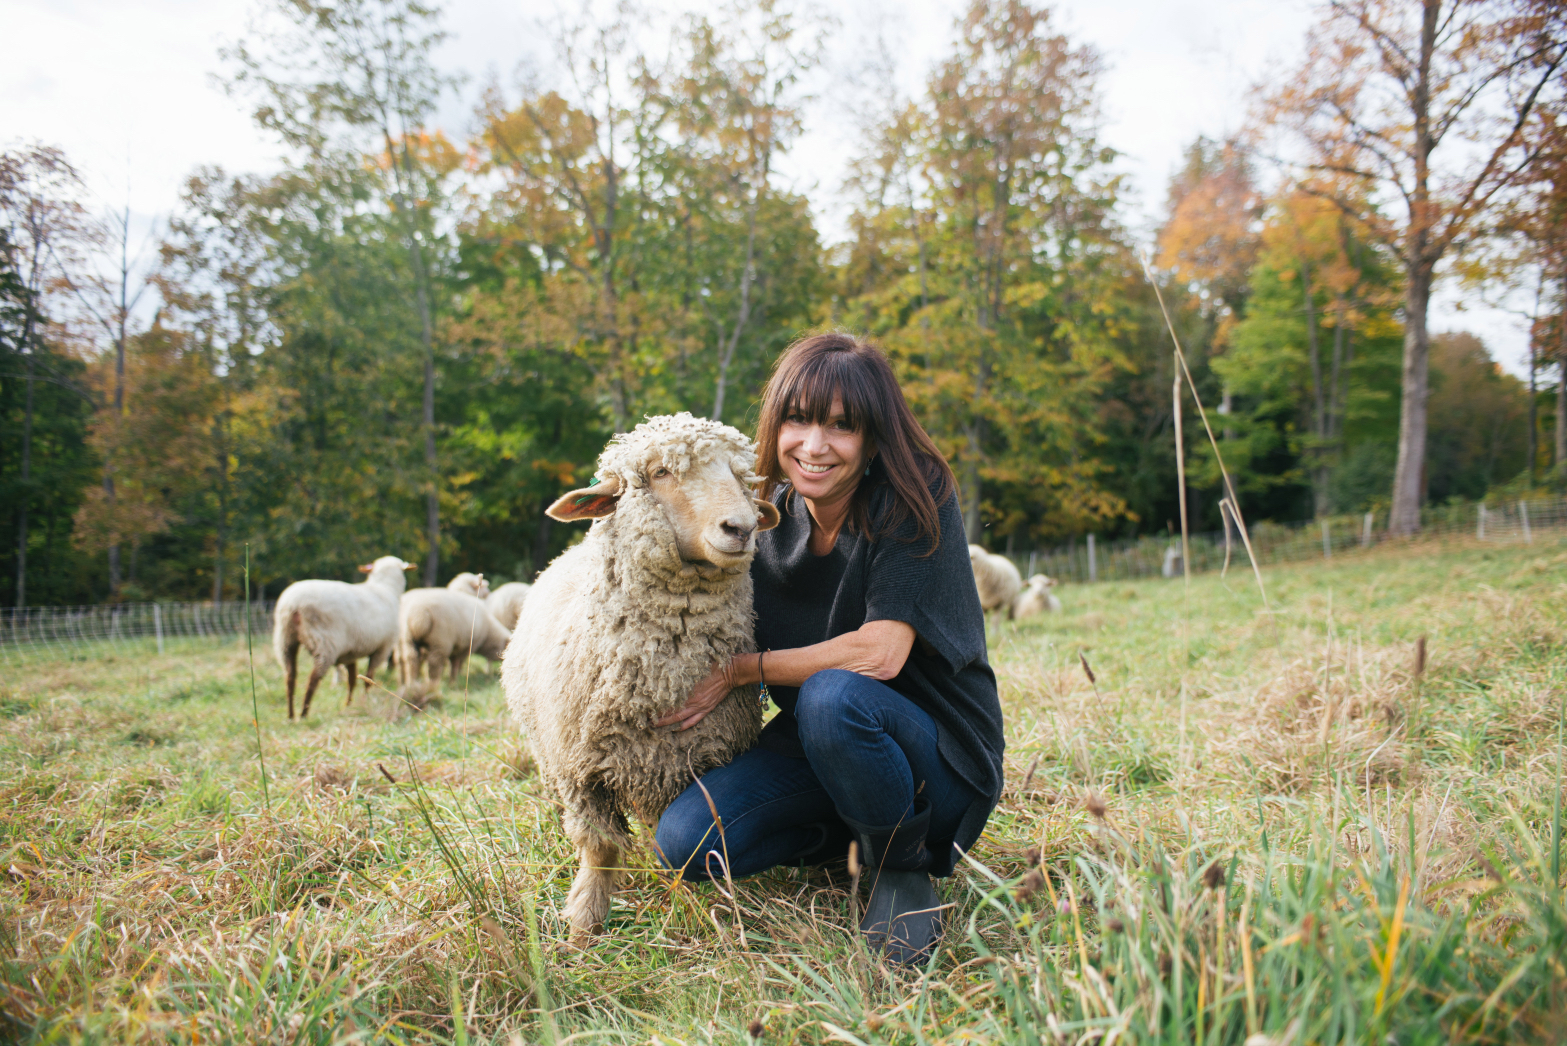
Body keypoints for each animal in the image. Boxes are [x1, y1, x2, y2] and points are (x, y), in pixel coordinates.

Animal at [274, 554, 416, 720]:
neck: (385, 588)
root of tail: (294, 605)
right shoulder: (382, 648)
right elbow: (368, 679)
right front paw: (366, 700)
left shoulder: (350, 652)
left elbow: (352, 680)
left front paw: (348, 705)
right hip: (325, 643)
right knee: (313, 678)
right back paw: (304, 713)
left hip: (285, 640)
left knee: (290, 676)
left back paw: (291, 715)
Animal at [504, 410, 780, 933]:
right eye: (661, 472)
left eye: (742, 476)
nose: (742, 527)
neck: (659, 674)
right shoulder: (579, 772)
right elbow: (599, 846)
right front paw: (583, 923)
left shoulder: (696, 762)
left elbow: (685, 846)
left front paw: (698, 906)